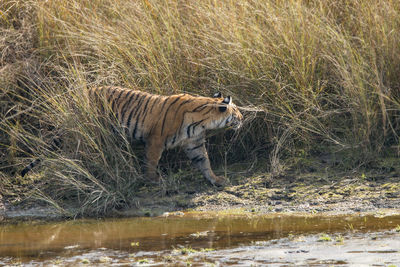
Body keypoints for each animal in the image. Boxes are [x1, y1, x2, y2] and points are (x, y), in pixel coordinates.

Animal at [21, 87, 244, 187]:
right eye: (236, 111)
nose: (243, 118)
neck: (202, 121)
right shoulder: (156, 140)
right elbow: (152, 161)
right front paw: (153, 179)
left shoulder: (194, 143)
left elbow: (204, 162)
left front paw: (216, 179)